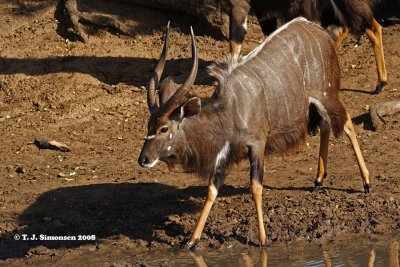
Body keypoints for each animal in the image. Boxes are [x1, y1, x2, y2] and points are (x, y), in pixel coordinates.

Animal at [138, 18, 372, 249]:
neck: (230, 110)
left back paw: (367, 183)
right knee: (325, 125)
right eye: (148, 126)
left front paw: (262, 239)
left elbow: (256, 187)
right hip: (316, 104)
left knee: (347, 122)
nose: (143, 160)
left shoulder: (257, 144)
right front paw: (192, 240)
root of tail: (321, 33)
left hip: (327, 95)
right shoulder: (224, 156)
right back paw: (318, 181)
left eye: (164, 128)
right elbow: (212, 190)